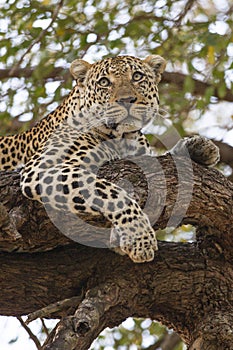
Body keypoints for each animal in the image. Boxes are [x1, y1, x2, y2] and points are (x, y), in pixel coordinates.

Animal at [0, 54, 220, 262]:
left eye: (137, 76)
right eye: (104, 82)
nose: (126, 100)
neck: (124, 139)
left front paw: (198, 147)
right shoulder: (40, 169)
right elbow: (110, 192)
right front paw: (138, 235)